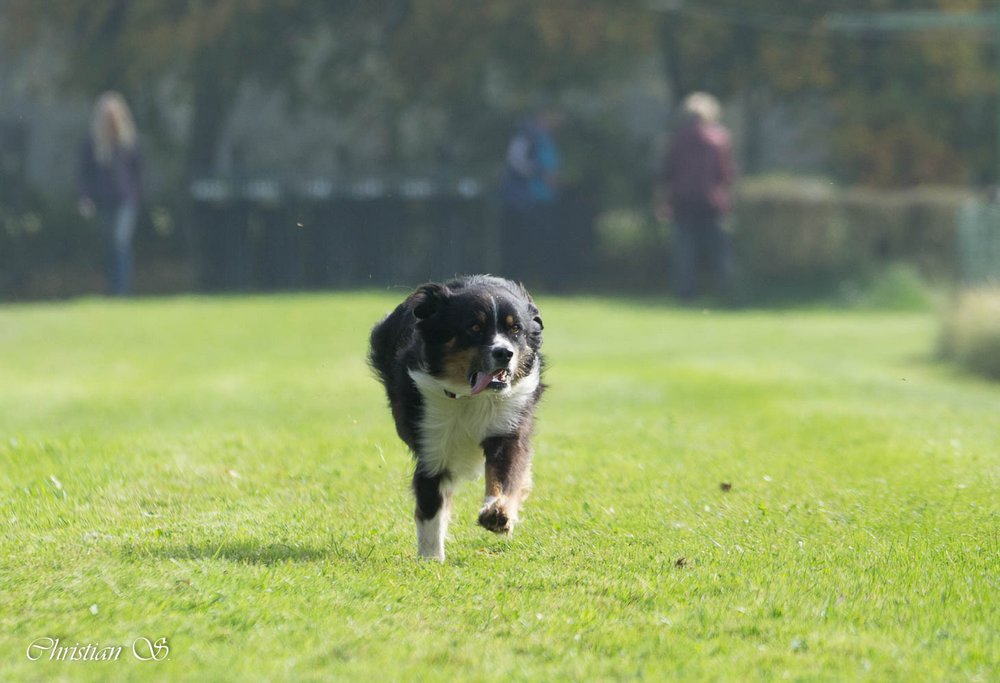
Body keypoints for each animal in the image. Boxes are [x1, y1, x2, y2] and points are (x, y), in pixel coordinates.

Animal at [369, 275, 545, 561]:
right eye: (474, 327)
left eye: (515, 329)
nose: (504, 353)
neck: (469, 397)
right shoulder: (432, 442)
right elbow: (430, 504)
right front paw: (430, 559)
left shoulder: (507, 426)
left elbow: (505, 474)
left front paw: (498, 514)